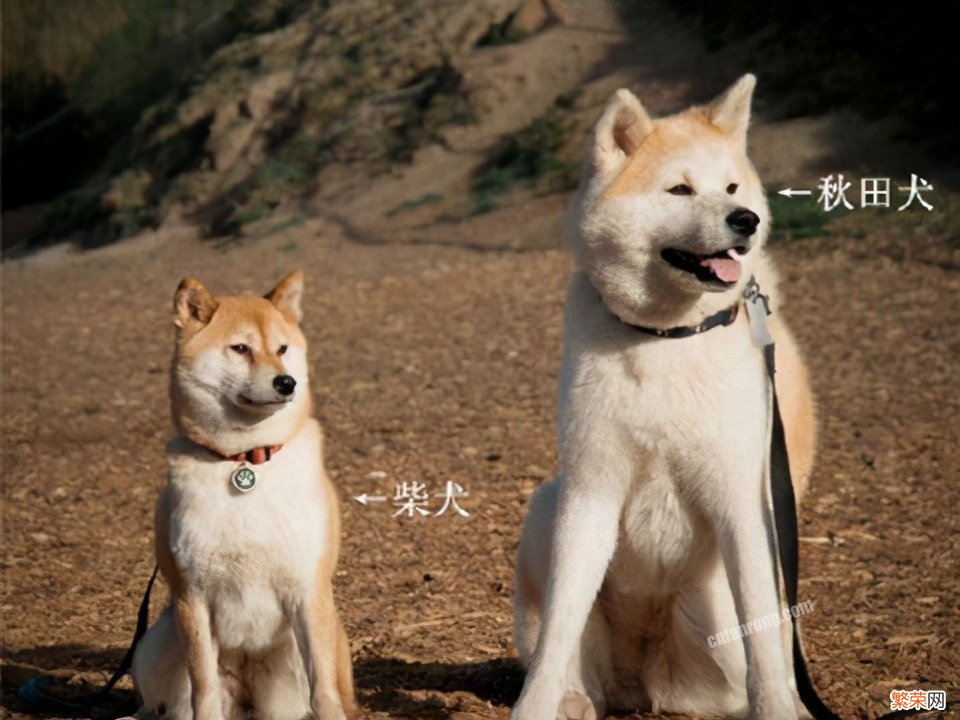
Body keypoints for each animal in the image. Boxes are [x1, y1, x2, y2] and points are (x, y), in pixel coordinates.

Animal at [127, 272, 352, 720]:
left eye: (282, 349)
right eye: (241, 348)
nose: (286, 382)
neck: (247, 461)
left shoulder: (308, 589)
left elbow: (324, 691)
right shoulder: (192, 598)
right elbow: (204, 691)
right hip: (155, 643)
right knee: (158, 705)